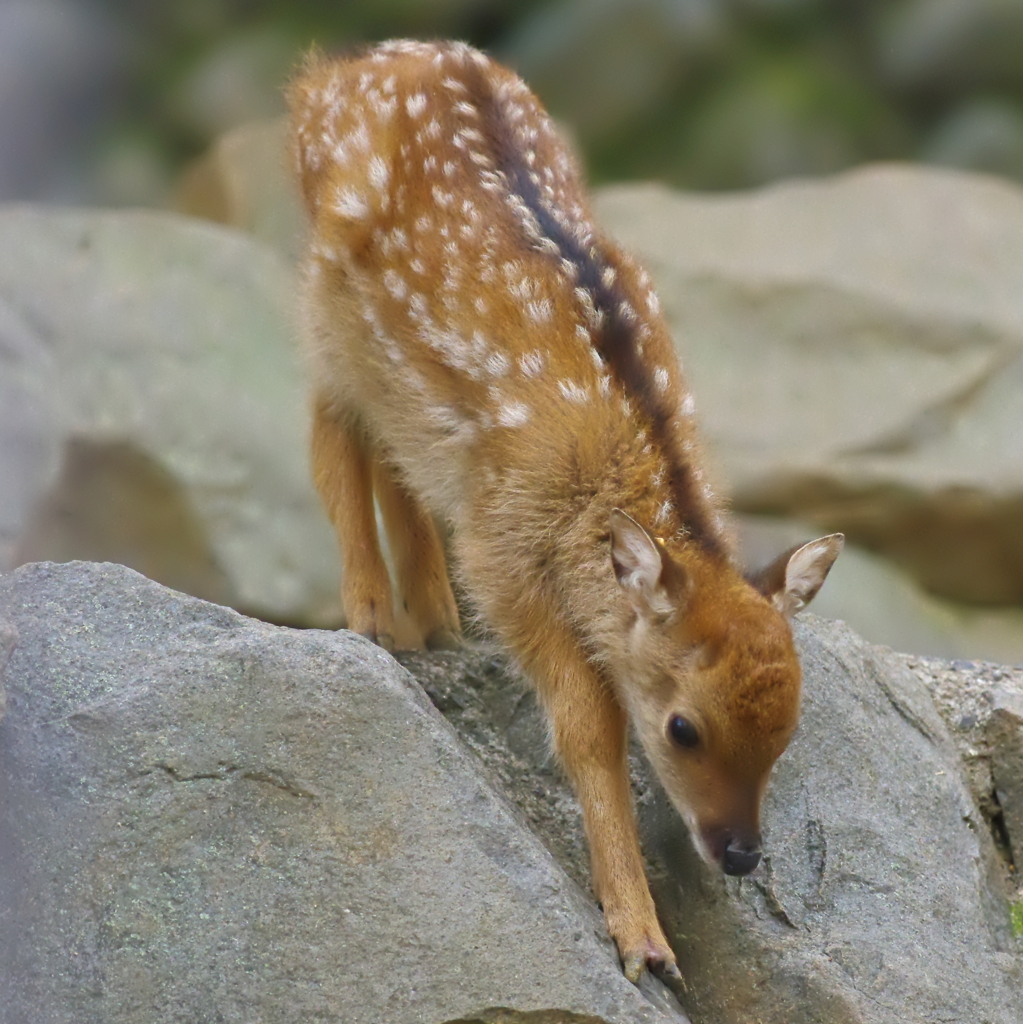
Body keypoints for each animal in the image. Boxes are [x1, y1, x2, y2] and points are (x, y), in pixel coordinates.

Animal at [286, 41, 839, 983]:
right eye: (683, 728)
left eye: (788, 729)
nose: (739, 853)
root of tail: (330, 72)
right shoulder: (503, 548)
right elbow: (586, 724)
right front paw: (642, 941)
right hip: (327, 303)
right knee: (331, 433)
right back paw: (371, 616)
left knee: (394, 456)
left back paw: (432, 621)